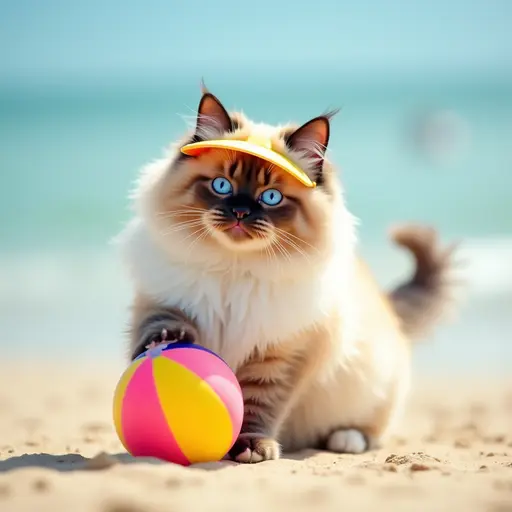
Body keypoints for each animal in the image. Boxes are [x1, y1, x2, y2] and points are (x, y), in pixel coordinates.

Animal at [118, 85, 458, 464]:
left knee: (370, 431)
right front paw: (166, 342)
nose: (240, 212)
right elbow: (160, 325)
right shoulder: (161, 301)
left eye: (271, 197)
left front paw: (251, 448)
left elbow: (256, 406)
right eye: (221, 186)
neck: (235, 269)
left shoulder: (280, 355)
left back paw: (345, 439)